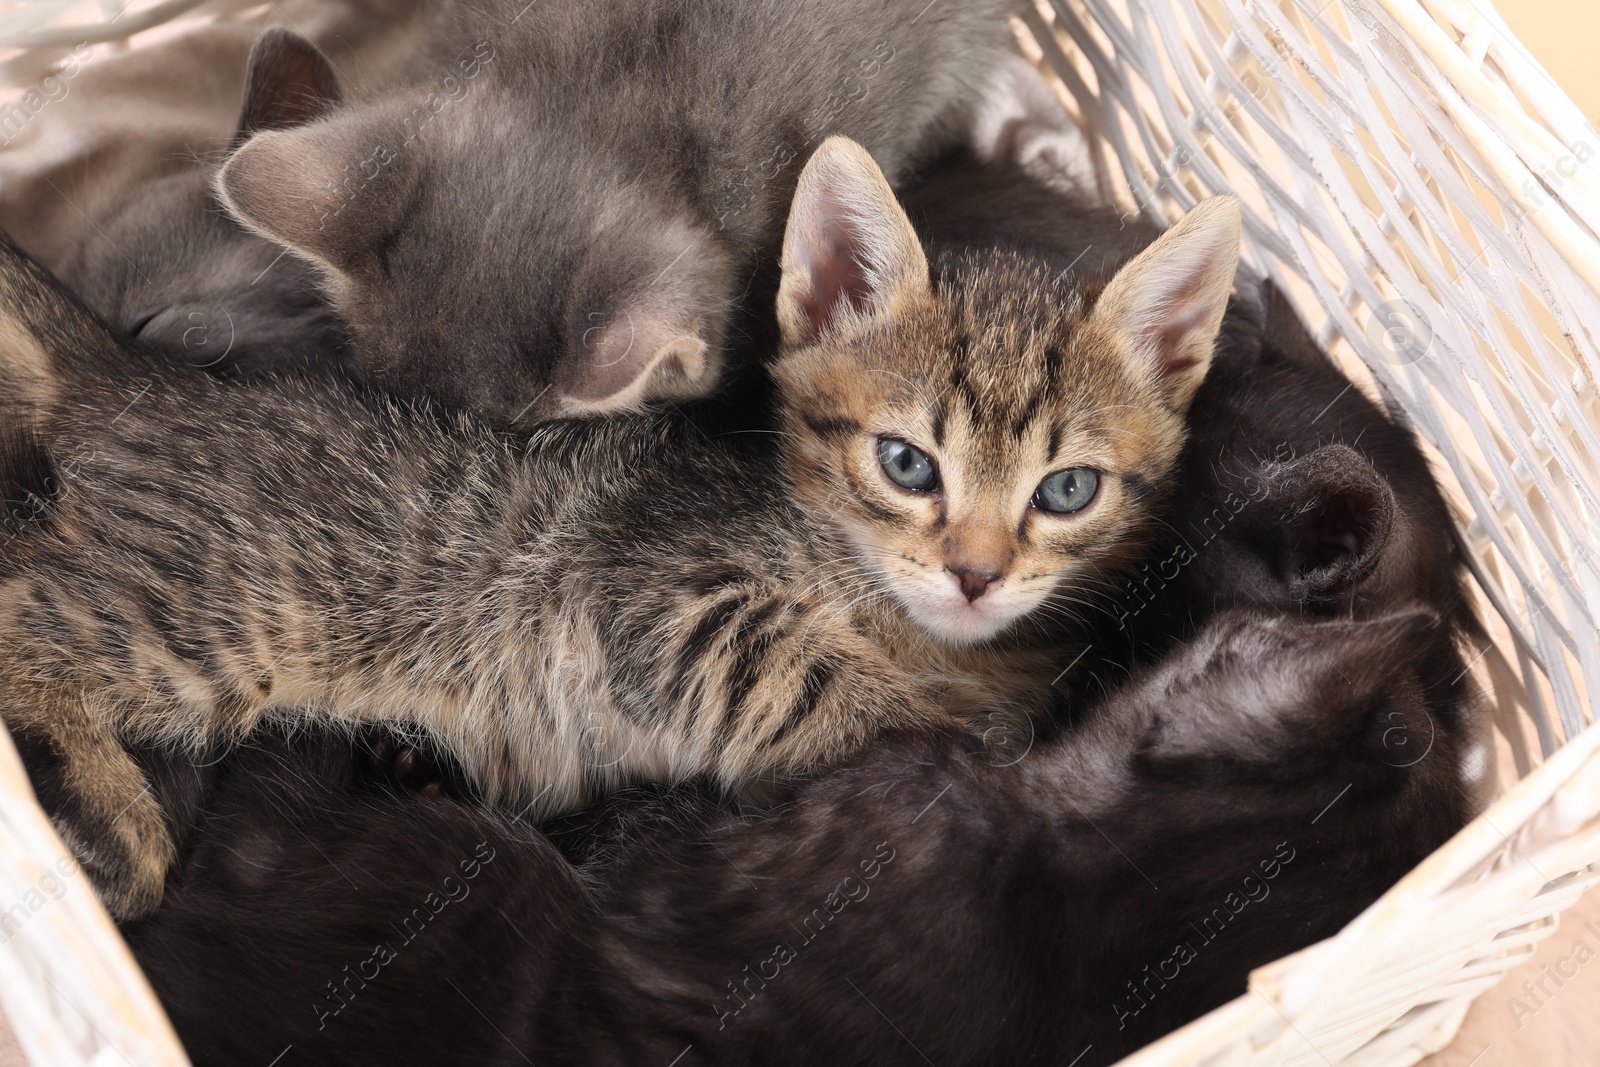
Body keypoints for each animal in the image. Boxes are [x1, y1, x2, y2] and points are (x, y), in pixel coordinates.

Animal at [0, 137, 1235, 921]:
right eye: (905, 463)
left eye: (1066, 491)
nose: (976, 573)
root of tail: (140, 385)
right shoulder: (659, 599)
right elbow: (831, 692)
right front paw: (956, 750)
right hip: (217, 616)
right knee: (23, 628)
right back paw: (123, 827)